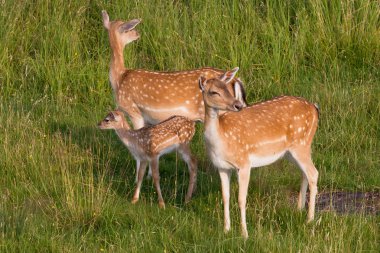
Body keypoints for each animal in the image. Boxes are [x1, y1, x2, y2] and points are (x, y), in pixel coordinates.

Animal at [101, 9, 246, 180]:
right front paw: (149, 175)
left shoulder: (133, 110)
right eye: (128, 28)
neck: (119, 79)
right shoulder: (148, 119)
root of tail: (235, 80)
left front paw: (139, 177)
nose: (137, 33)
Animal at [199, 67, 320, 239]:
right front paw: (226, 230)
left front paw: (244, 233)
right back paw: (299, 210)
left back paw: (309, 219)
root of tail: (315, 109)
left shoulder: (244, 162)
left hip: (301, 144)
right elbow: (225, 197)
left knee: (314, 173)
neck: (221, 141)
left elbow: (241, 199)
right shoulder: (222, 167)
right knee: (305, 173)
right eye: (214, 92)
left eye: (228, 89)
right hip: (293, 151)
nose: (237, 105)